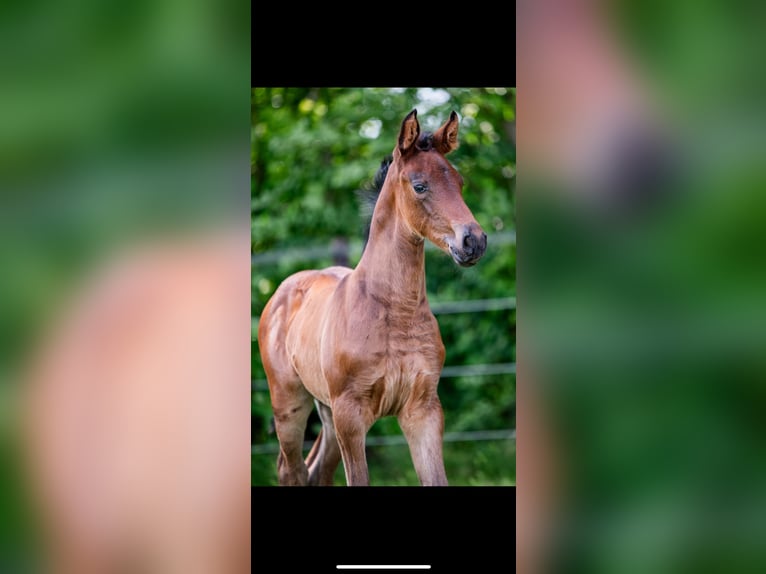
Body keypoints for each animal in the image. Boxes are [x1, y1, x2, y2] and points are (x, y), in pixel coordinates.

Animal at [257, 109, 487, 486]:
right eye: (420, 185)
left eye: (460, 181)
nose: (474, 241)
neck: (395, 309)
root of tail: (283, 290)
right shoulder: (351, 414)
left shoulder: (423, 410)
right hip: (290, 403)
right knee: (291, 469)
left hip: (326, 411)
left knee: (316, 471)